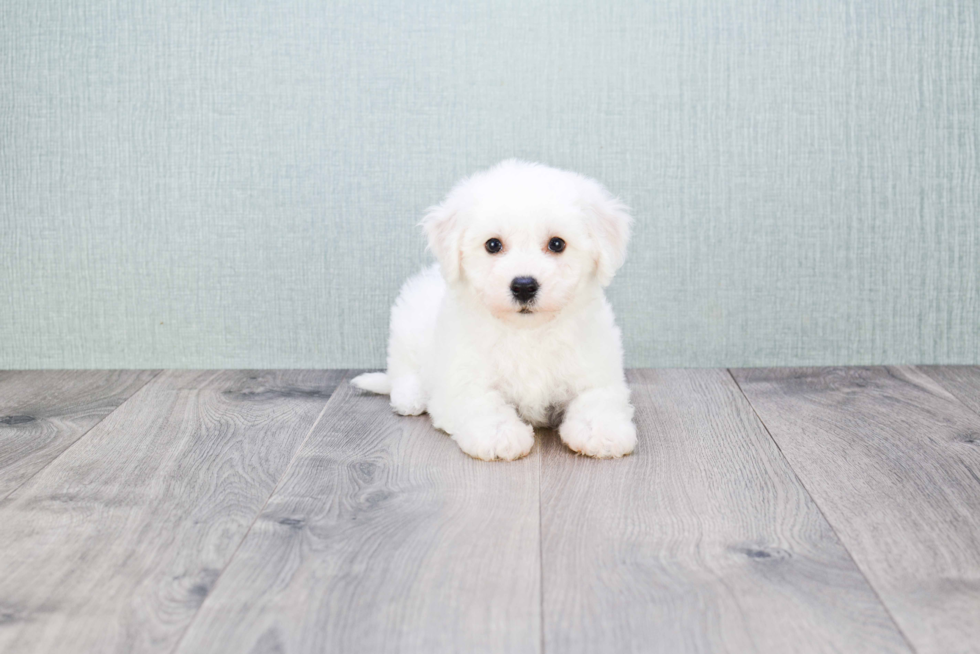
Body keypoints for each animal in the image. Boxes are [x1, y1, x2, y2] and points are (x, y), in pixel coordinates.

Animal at [352, 160, 636, 462]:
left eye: (557, 244)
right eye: (493, 244)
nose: (524, 286)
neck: (527, 333)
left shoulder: (597, 368)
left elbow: (597, 397)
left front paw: (602, 431)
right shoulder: (460, 377)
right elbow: (480, 401)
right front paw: (500, 435)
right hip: (407, 328)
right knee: (402, 369)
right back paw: (411, 396)